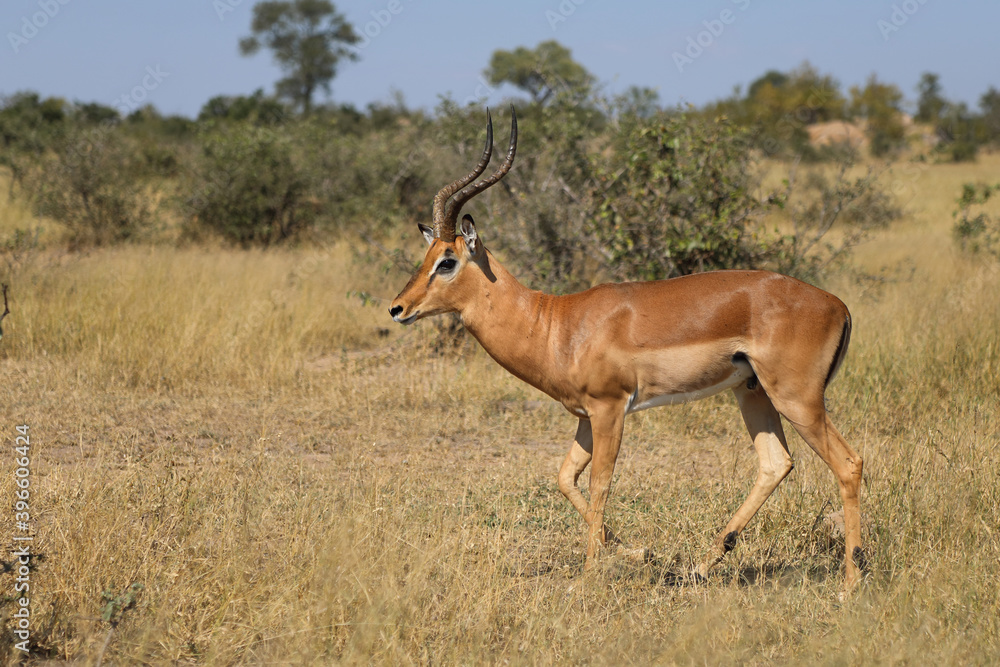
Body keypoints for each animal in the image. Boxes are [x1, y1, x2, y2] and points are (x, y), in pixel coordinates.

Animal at [389, 108, 865, 591]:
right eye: (427, 255)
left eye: (447, 260)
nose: (398, 308)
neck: (556, 324)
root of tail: (838, 305)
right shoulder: (584, 416)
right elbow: (565, 478)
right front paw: (636, 550)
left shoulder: (610, 408)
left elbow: (600, 483)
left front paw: (586, 576)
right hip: (752, 392)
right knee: (775, 463)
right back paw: (701, 565)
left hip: (797, 399)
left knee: (848, 463)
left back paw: (850, 581)